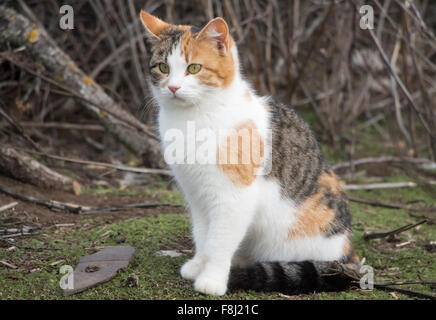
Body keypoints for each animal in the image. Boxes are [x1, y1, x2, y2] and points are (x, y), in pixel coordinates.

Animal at [141, 9, 362, 296]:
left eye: (194, 68)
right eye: (163, 68)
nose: (173, 88)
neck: (193, 118)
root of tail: (348, 255)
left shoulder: (234, 197)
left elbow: (219, 240)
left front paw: (211, 279)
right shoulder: (196, 195)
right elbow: (203, 234)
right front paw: (199, 265)